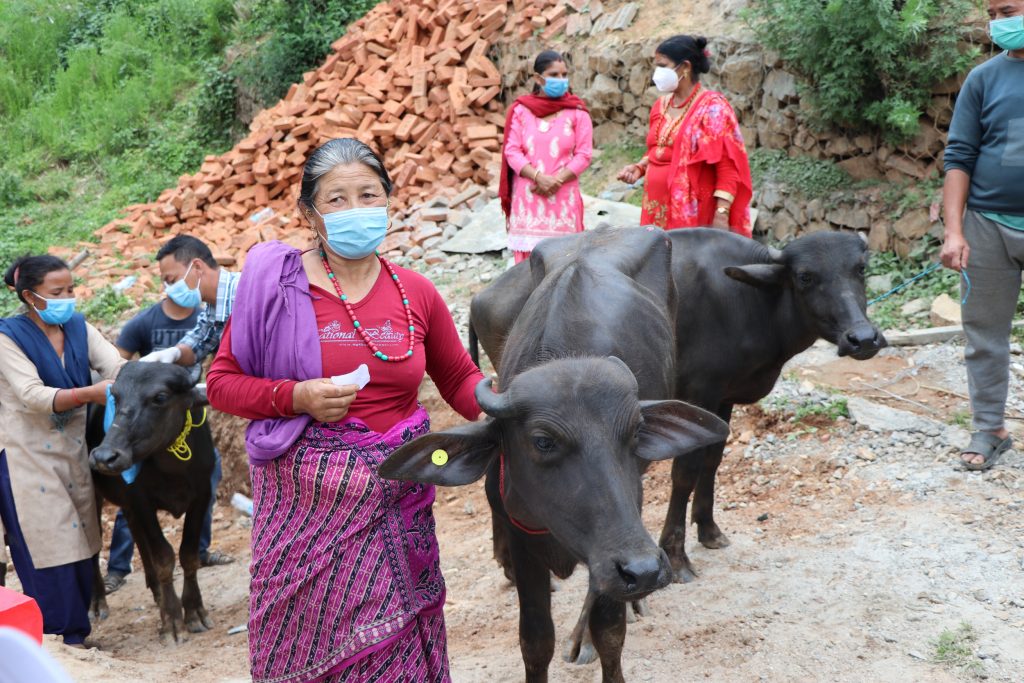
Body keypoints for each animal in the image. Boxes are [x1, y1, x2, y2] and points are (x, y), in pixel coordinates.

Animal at [382, 229, 729, 683]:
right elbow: (535, 639)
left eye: (634, 431)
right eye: (543, 441)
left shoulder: (614, 541)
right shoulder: (522, 539)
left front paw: (599, 637)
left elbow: (609, 630)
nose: (645, 570)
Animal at [468, 229, 884, 589]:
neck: (748, 299)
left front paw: (710, 529)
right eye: (805, 276)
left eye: (860, 269)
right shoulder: (699, 392)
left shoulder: (722, 398)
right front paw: (677, 555)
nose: (863, 338)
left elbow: (713, 461)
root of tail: (480, 298)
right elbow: (685, 472)